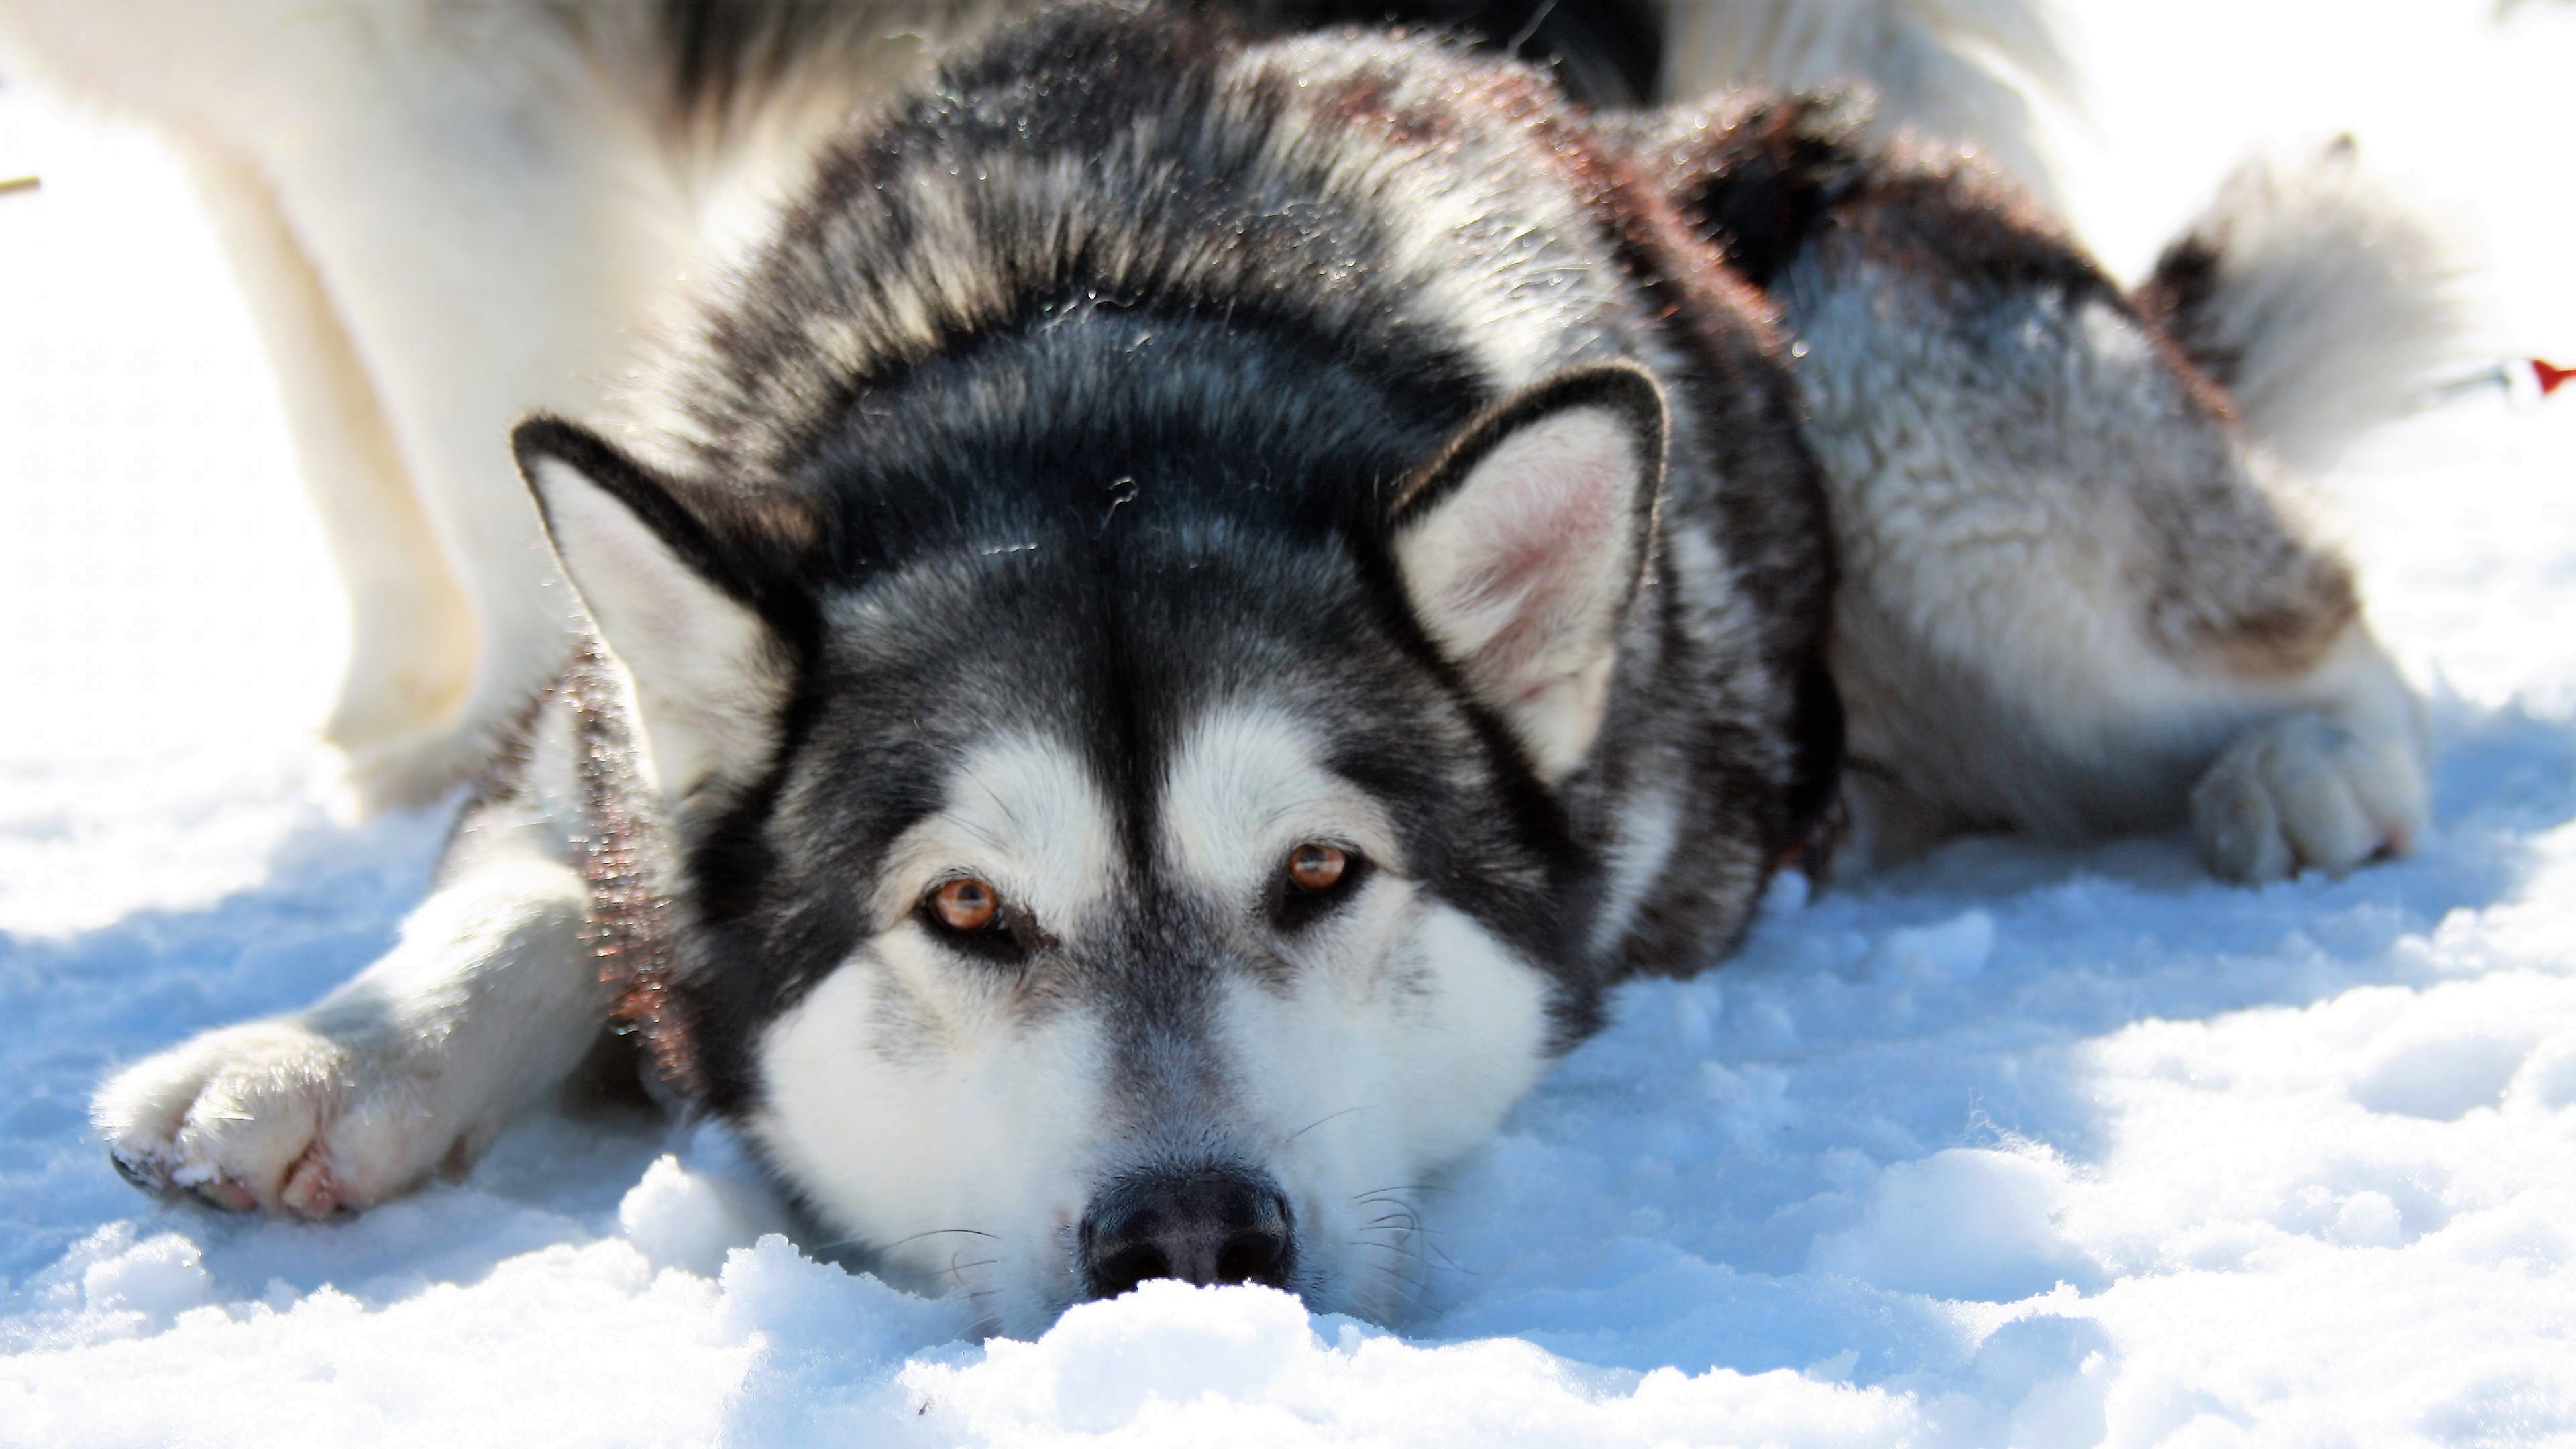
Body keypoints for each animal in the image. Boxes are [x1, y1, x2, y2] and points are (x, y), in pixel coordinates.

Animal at [85, 3, 2452, 1330]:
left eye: (1320, 877)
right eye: (967, 912)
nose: (1194, 1244)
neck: (1093, 330)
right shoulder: (589, 747)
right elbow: (519, 905)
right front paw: (308, 1062)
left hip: (1908, 412)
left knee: (2313, 622)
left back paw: (2302, 776)